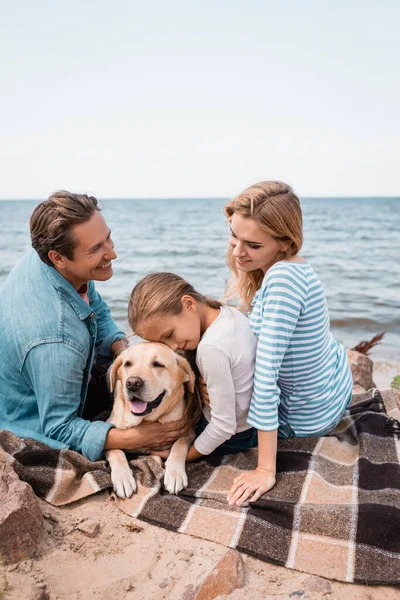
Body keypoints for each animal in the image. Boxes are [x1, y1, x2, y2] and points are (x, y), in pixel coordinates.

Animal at [105, 342, 198, 496]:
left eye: (158, 364)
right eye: (127, 364)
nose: (132, 383)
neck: (144, 419)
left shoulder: (188, 431)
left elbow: (179, 444)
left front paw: (175, 473)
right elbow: (116, 451)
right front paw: (123, 477)